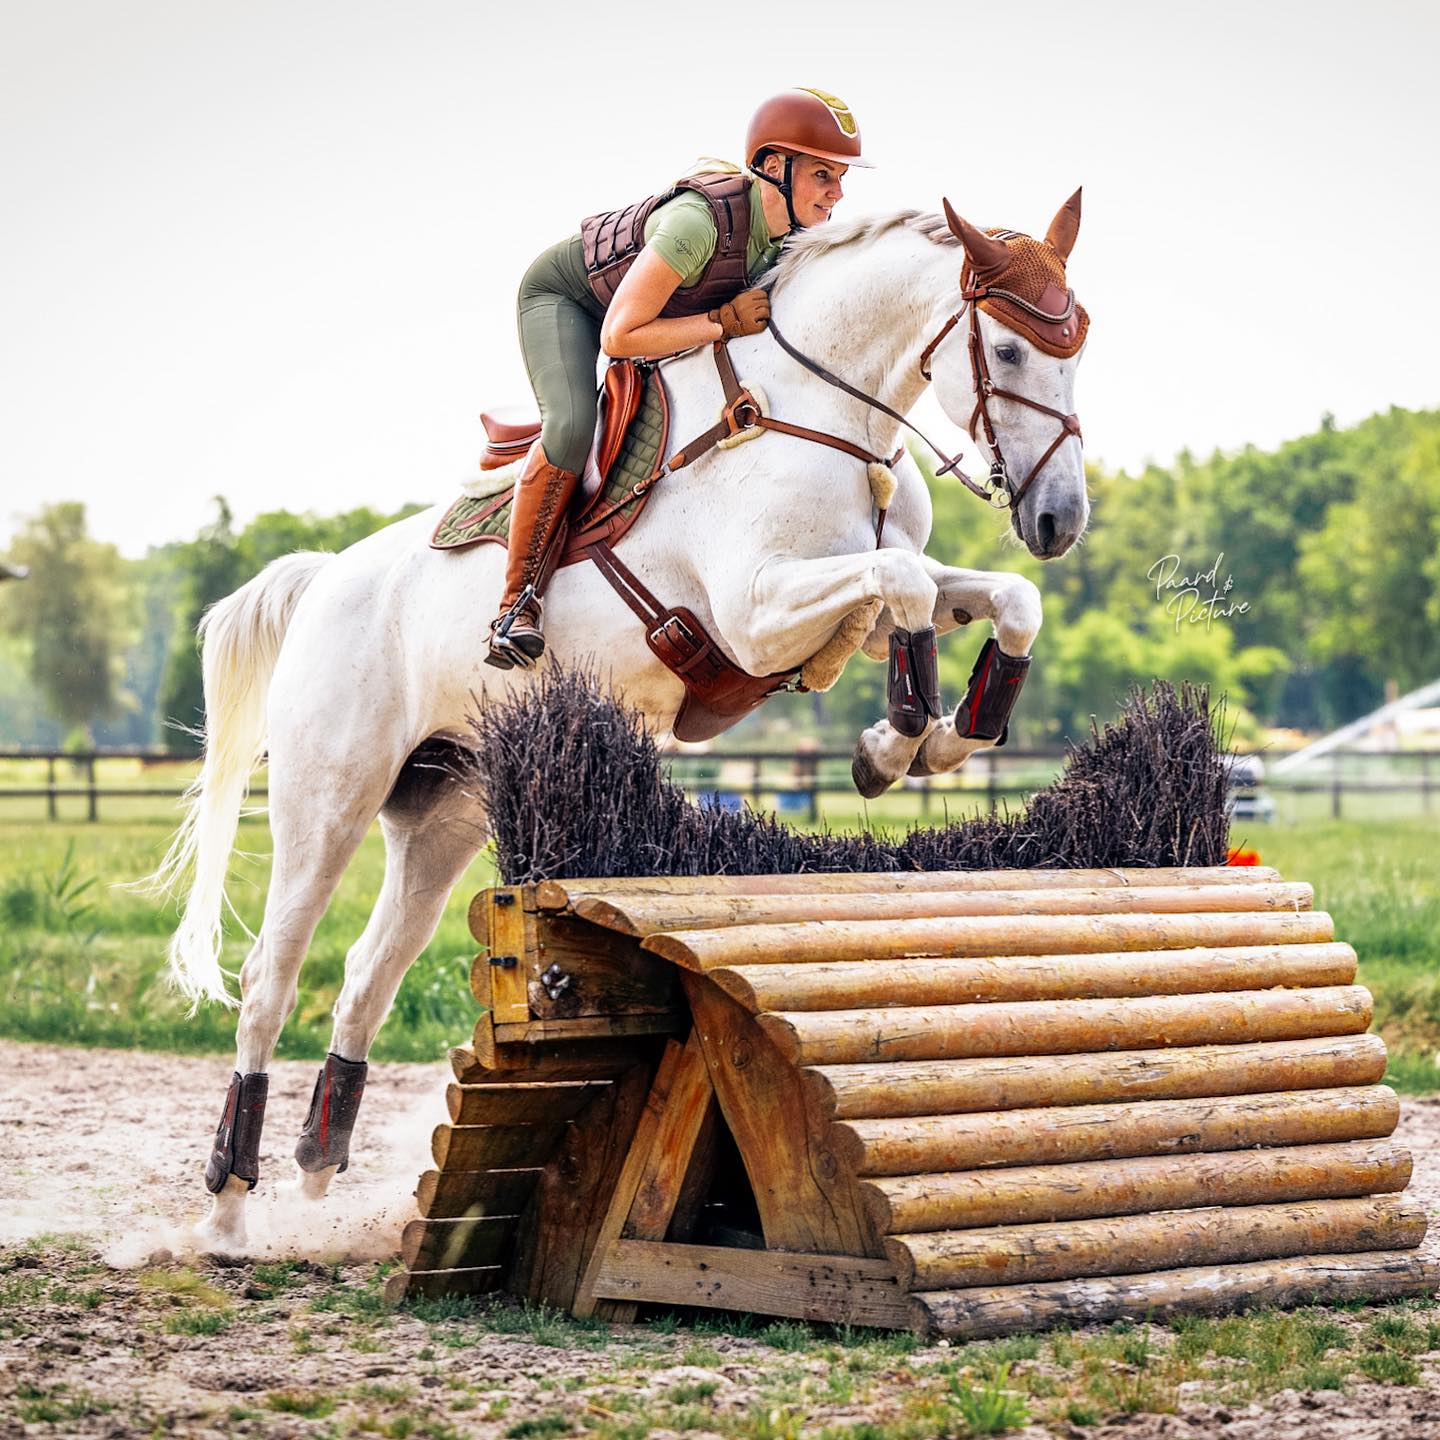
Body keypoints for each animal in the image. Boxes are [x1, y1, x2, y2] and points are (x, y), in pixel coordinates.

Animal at [165, 191, 1088, 1249]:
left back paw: (319, 1181)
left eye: (1080, 348)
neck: (826, 418)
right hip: (328, 800)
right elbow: (899, 584)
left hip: (444, 812)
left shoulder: (855, 595)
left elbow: (996, 597)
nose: (1060, 521)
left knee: (368, 970)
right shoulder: (756, 615)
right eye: (1009, 351)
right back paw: (231, 1211)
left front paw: (939, 735)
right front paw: (894, 739)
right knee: (269, 978)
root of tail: (324, 579)